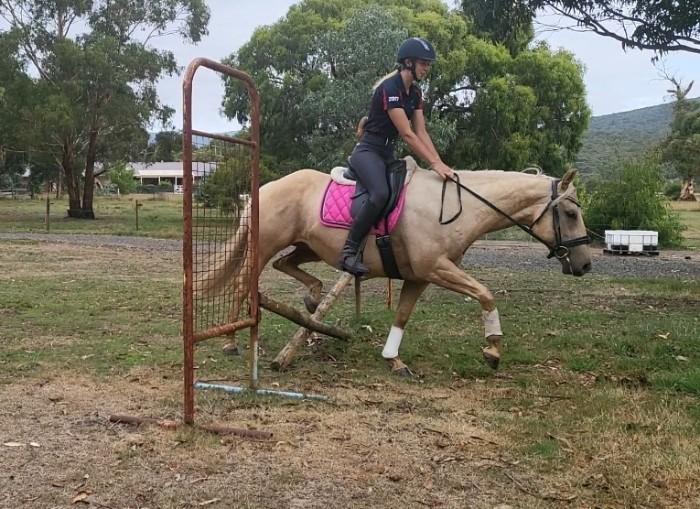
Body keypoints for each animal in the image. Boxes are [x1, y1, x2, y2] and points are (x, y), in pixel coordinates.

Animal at [203, 157, 592, 375]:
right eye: (570, 214)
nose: (586, 265)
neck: (457, 208)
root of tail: (263, 189)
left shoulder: (420, 276)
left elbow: (402, 315)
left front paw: (393, 359)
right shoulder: (436, 268)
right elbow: (485, 294)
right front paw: (493, 349)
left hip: (306, 247)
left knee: (288, 266)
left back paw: (312, 307)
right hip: (265, 246)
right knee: (242, 284)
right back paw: (231, 342)